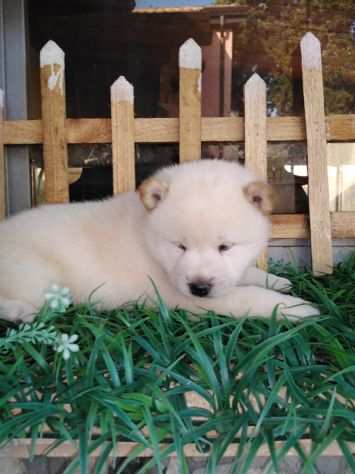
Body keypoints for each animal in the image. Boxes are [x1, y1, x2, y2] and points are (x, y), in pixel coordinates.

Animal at [0, 160, 318, 322]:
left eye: (225, 247)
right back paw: (20, 312)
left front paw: (275, 280)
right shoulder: (175, 296)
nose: (199, 287)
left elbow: (245, 275)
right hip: (36, 277)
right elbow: (248, 298)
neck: (146, 239)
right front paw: (294, 308)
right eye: (180, 246)